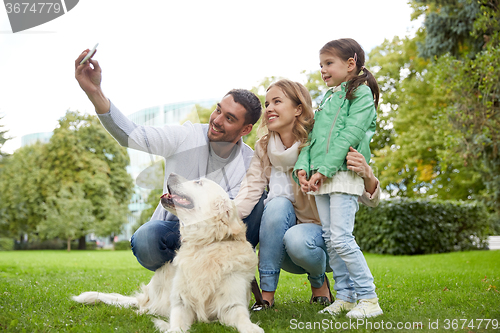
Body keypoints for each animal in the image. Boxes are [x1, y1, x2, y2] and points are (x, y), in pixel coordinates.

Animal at [73, 172, 266, 330]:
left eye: (199, 182)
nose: (171, 174)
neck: (205, 245)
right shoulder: (181, 302)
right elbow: (177, 323)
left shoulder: (232, 303)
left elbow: (243, 320)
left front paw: (252, 328)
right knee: (145, 306)